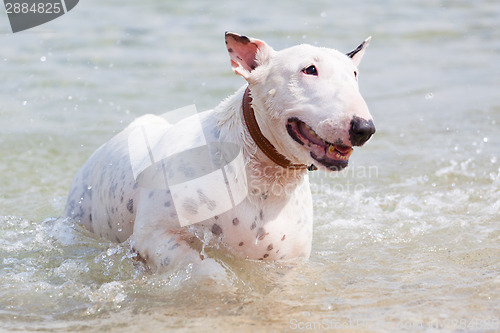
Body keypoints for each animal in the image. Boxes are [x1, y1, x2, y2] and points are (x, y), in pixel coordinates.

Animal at [64, 32, 374, 272]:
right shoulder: (156, 237)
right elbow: (208, 269)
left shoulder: (287, 260)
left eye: (355, 74)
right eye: (309, 69)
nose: (364, 128)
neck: (264, 176)